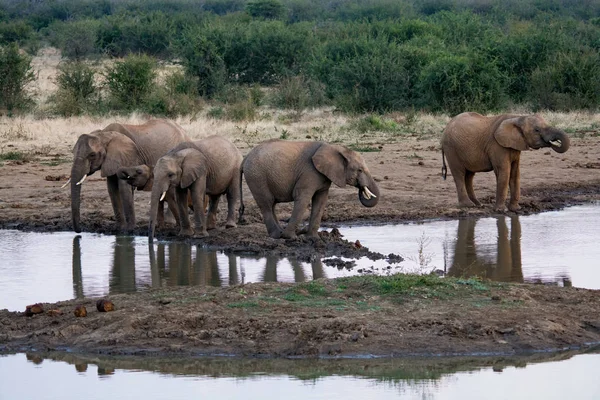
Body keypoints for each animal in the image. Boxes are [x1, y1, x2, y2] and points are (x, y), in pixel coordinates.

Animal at [241, 139, 378, 239]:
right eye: (359, 170)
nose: (362, 188)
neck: (335, 148)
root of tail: (245, 158)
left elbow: (321, 200)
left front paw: (313, 238)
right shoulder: (309, 172)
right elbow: (303, 198)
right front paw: (291, 237)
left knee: (272, 204)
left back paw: (279, 233)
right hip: (256, 176)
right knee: (267, 204)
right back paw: (277, 235)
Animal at [440, 112, 572, 212]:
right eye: (537, 130)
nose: (554, 142)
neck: (518, 118)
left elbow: (515, 173)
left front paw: (515, 209)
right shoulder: (497, 145)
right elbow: (504, 171)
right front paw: (501, 210)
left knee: (469, 176)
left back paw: (478, 205)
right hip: (451, 149)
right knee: (459, 174)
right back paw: (468, 205)